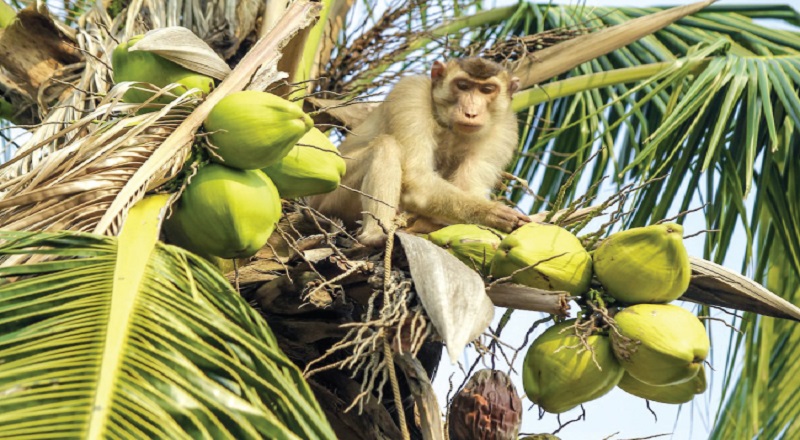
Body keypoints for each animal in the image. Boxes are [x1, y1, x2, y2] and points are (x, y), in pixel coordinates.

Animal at [310, 56, 532, 246]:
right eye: (462, 85)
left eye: (487, 89)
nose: (470, 112)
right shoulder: (411, 94)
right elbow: (416, 181)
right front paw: (492, 212)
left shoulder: (504, 130)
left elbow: (468, 192)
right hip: (328, 197)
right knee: (385, 146)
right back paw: (375, 235)